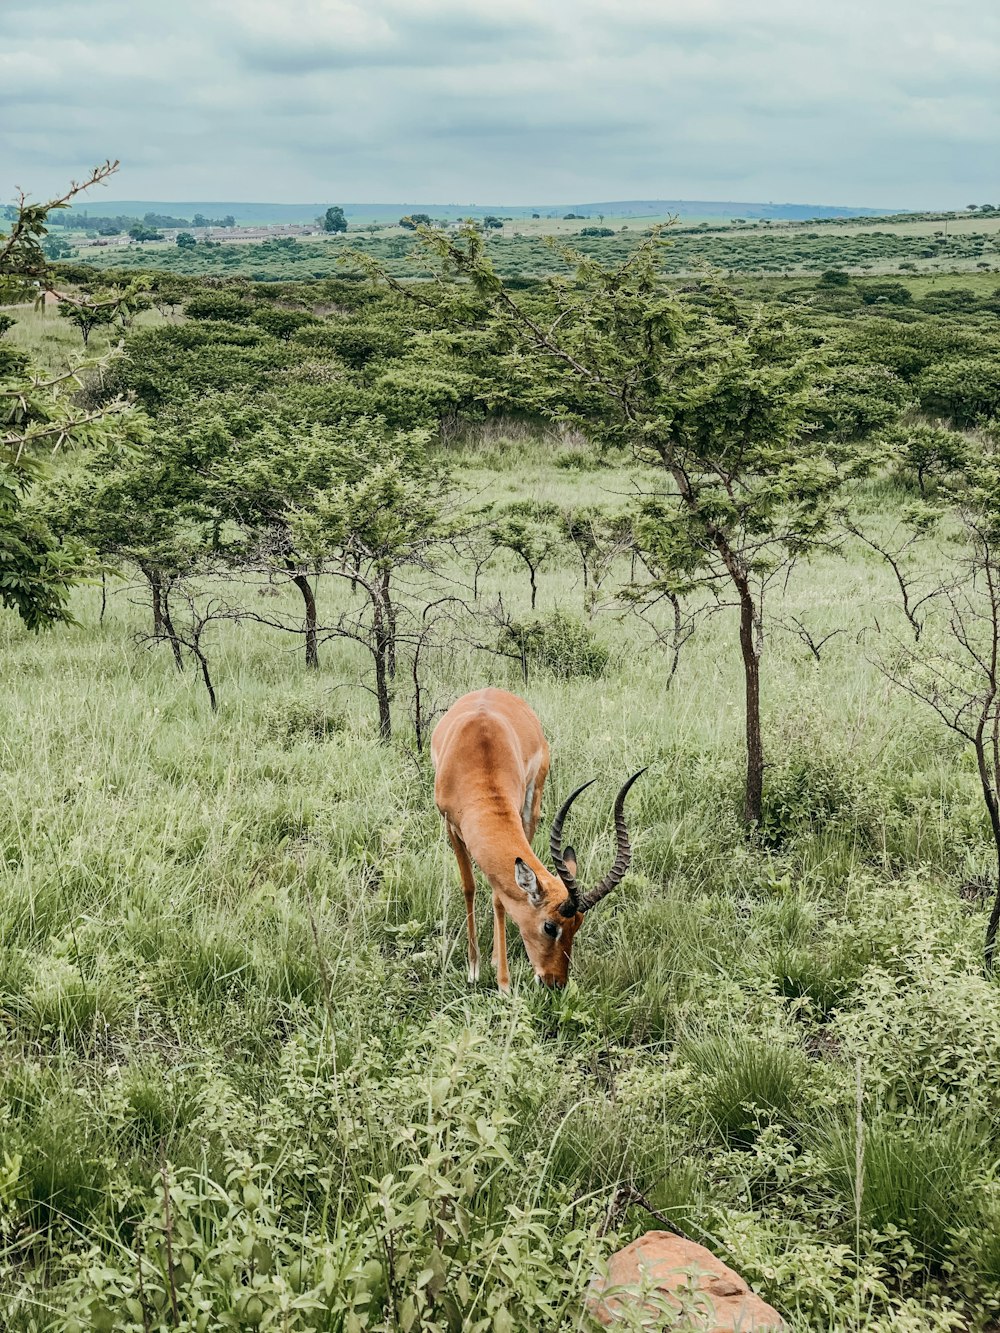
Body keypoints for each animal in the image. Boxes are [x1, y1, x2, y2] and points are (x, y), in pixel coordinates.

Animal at [434, 687, 645, 991]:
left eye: (578, 924)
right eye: (549, 926)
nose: (555, 982)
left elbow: (499, 898)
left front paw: (503, 981)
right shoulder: (451, 824)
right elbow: (469, 887)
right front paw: (474, 969)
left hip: (533, 804)